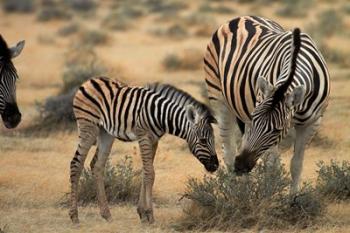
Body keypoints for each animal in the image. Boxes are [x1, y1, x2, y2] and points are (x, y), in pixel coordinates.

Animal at [69, 76, 219, 224]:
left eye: (213, 140)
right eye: (203, 140)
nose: (215, 166)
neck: (161, 114)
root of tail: (90, 80)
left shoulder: (154, 140)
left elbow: (146, 172)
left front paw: (142, 213)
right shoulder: (144, 137)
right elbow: (150, 173)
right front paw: (149, 214)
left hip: (106, 133)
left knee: (98, 166)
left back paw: (106, 214)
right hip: (88, 127)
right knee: (76, 164)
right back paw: (74, 216)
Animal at [204, 15, 330, 193]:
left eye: (277, 130)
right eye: (255, 121)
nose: (241, 166)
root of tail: (242, 17)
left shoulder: (312, 123)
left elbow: (296, 164)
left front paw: (294, 197)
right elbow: (272, 167)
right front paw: (269, 193)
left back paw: (245, 187)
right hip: (219, 98)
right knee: (228, 150)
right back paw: (231, 191)